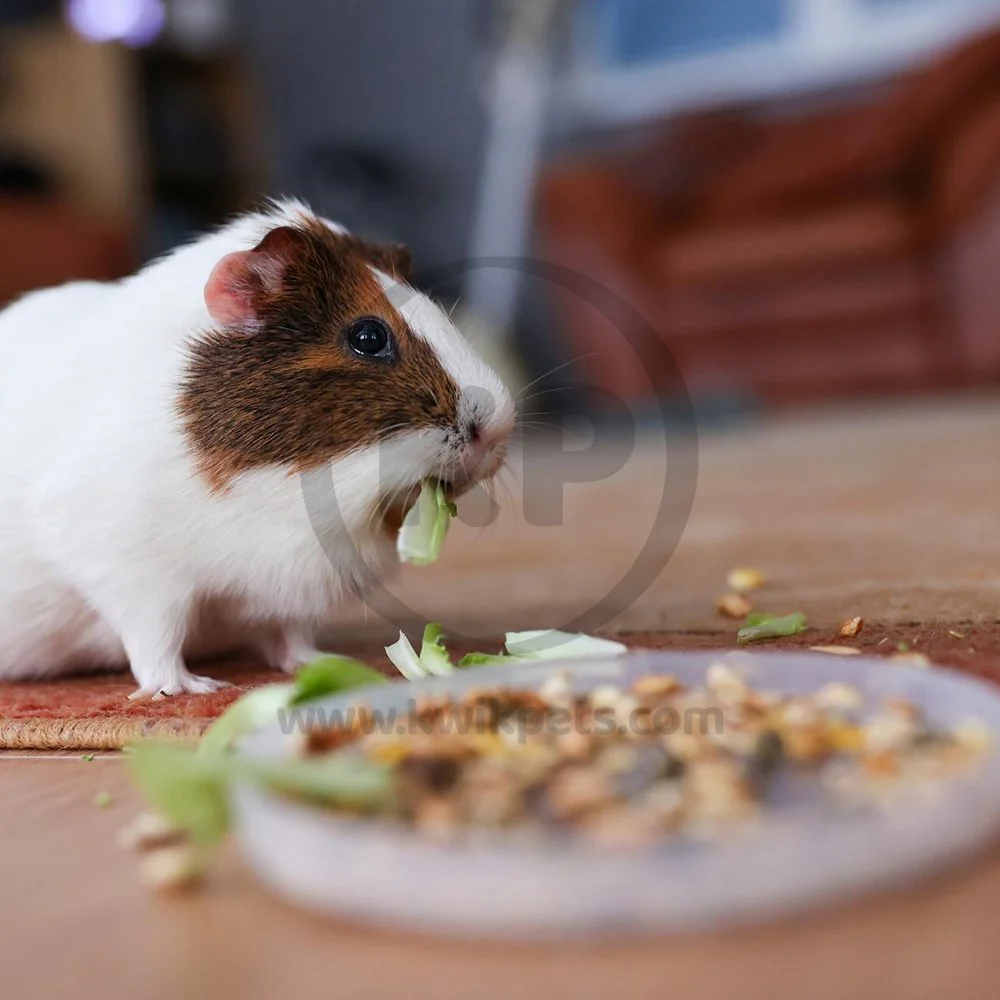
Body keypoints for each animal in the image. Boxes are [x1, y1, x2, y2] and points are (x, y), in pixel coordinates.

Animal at [0, 198, 514, 696]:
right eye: (368, 337)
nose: (496, 428)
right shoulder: (135, 574)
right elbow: (156, 641)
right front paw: (190, 688)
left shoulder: (285, 597)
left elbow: (288, 635)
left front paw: (321, 663)